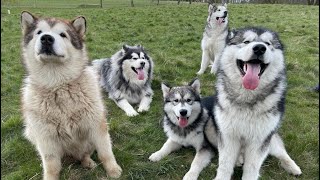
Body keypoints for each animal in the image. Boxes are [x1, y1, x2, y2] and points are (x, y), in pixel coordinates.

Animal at [20, 11, 122, 180]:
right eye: (39, 32)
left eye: (63, 34)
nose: (46, 38)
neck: (57, 84)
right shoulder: (46, 139)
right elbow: (52, 166)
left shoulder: (96, 126)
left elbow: (105, 153)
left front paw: (113, 170)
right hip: (32, 133)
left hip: (87, 142)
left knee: (85, 154)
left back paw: (88, 162)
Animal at [211, 27, 302, 180]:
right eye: (246, 41)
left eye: (268, 43)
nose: (259, 48)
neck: (247, 98)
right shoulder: (228, 135)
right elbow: (225, 165)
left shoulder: (260, 139)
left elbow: (252, 168)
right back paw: (239, 159)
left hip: (271, 138)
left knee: (281, 151)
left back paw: (293, 167)